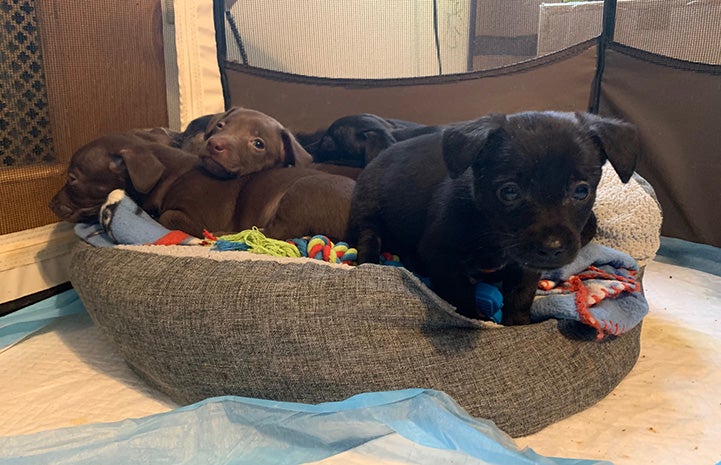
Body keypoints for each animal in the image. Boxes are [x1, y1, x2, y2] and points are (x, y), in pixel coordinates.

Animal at [346, 110, 640, 324]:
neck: (490, 229)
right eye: (509, 192)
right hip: (367, 213)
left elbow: (521, 295)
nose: (552, 249)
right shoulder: (442, 256)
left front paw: (518, 325)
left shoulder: (524, 264)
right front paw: (476, 319)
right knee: (369, 239)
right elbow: (460, 295)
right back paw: (371, 262)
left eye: (581, 191)